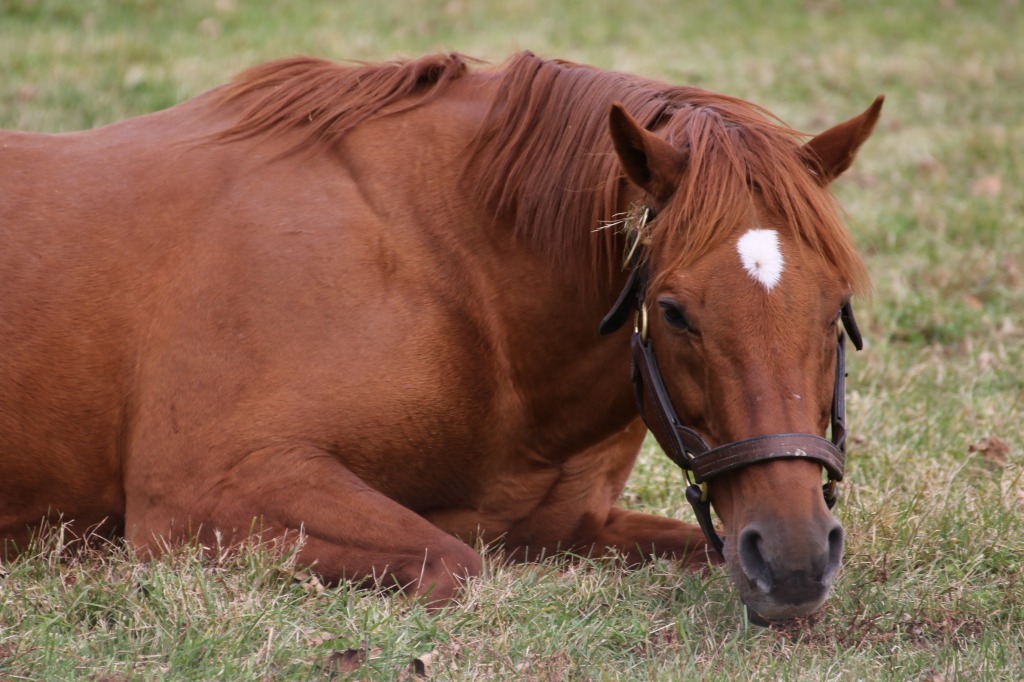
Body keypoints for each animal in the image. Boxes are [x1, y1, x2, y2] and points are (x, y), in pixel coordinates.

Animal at [0, 50, 880, 618]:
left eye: (834, 303)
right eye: (673, 311)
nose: (795, 558)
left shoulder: (574, 525)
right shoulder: (204, 494)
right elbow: (452, 560)